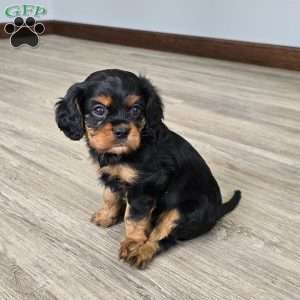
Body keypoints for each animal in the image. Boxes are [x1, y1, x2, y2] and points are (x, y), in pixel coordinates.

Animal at [54, 69, 241, 268]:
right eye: (99, 110)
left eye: (136, 109)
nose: (122, 131)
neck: (123, 154)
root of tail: (218, 210)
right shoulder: (112, 177)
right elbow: (110, 197)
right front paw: (107, 216)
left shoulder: (145, 186)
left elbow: (134, 217)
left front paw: (133, 242)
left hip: (181, 212)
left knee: (162, 238)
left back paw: (141, 251)